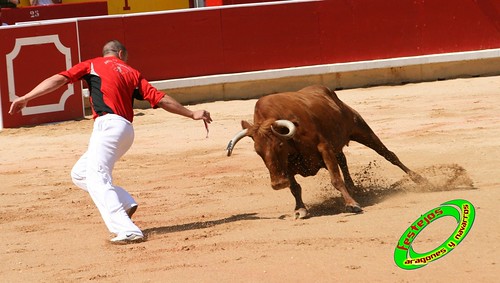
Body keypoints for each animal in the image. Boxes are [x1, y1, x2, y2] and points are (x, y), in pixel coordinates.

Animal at [227, 85, 426, 219]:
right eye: (258, 151)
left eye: (280, 145)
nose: (277, 184)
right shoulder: (288, 165)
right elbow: (294, 187)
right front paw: (300, 210)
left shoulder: (324, 148)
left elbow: (335, 179)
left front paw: (352, 204)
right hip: (339, 144)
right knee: (343, 160)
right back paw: (353, 187)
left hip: (361, 129)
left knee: (388, 154)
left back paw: (421, 180)